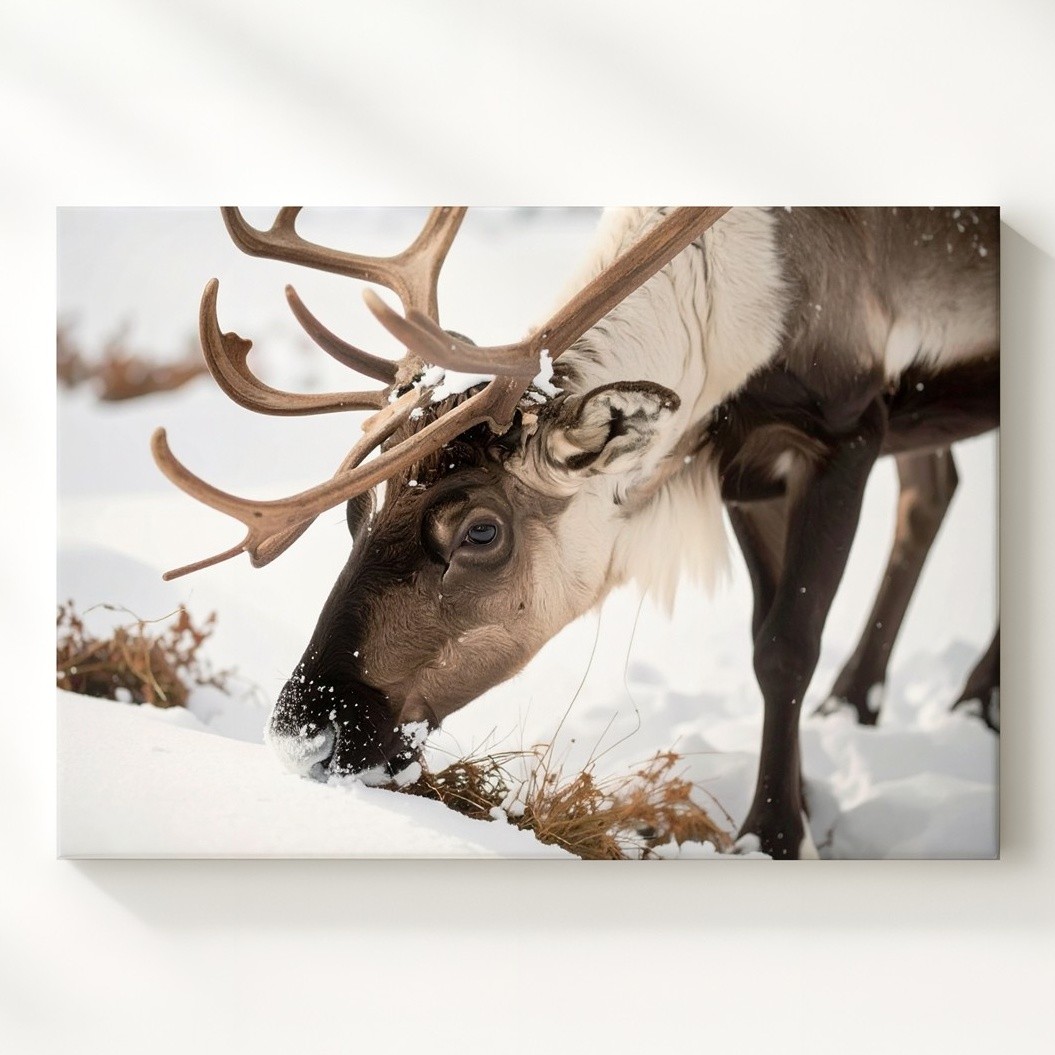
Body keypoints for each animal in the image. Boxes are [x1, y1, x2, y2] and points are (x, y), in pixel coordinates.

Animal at [151, 206, 999, 858]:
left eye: (479, 532)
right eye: (355, 511)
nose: (302, 734)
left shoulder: (843, 425)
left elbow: (785, 645)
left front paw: (776, 836)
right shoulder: (748, 468)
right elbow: (769, 638)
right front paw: (801, 801)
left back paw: (967, 701)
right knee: (932, 492)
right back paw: (866, 705)